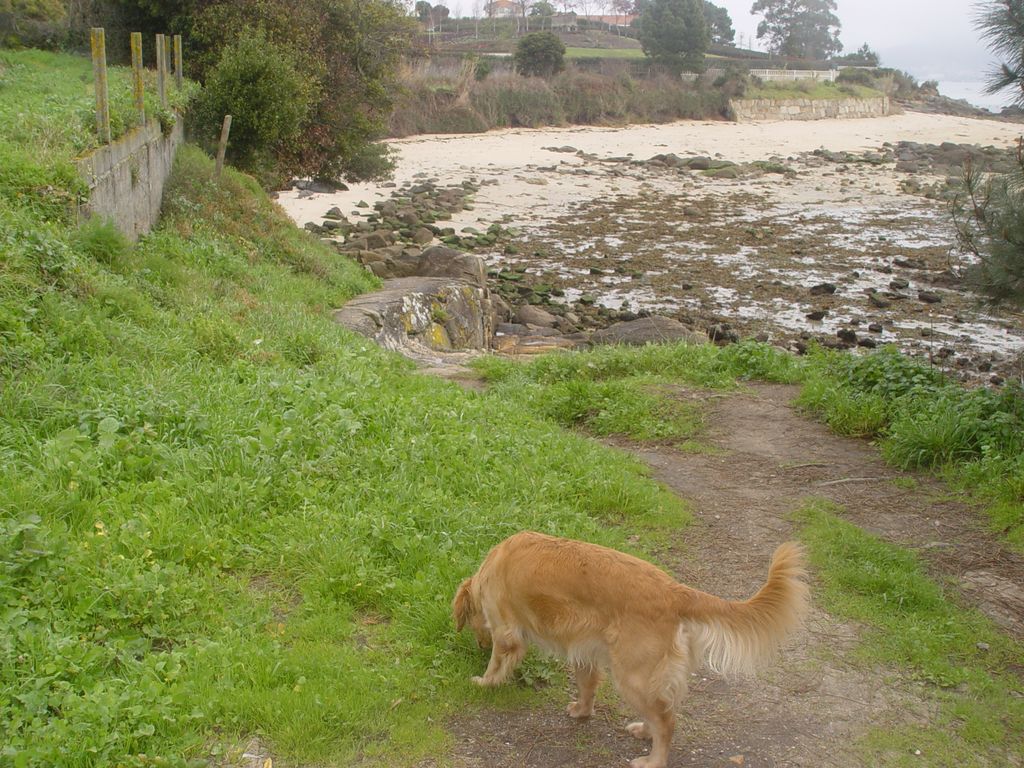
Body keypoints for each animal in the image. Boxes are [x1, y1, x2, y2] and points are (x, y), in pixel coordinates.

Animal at [454, 536, 806, 768]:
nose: (478, 644)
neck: (494, 564)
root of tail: (675, 591)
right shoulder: (584, 649)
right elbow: (587, 686)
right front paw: (582, 712)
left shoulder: (506, 632)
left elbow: (497, 662)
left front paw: (484, 682)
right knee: (663, 710)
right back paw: (643, 731)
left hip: (632, 677)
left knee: (667, 721)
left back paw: (653, 760)